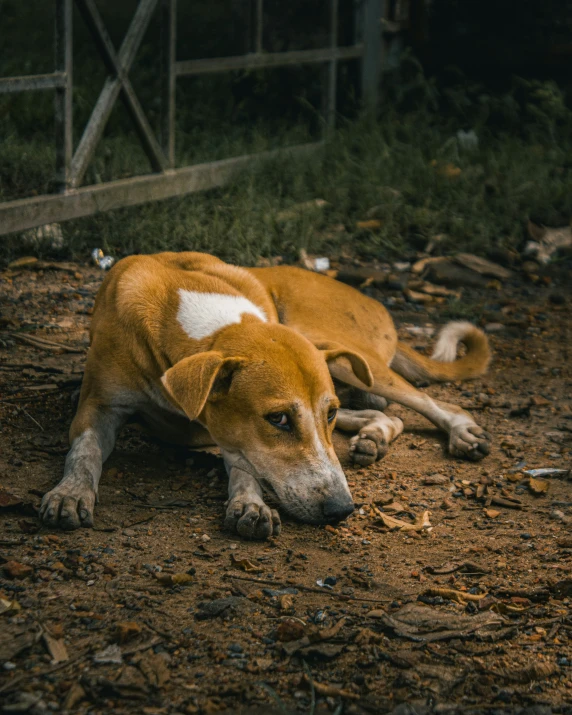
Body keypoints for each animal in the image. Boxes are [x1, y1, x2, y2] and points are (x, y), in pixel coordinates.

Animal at [39, 252, 492, 536]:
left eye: (327, 414)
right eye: (278, 419)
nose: (342, 511)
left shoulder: (228, 430)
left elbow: (244, 465)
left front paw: (249, 503)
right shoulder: (98, 406)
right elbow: (84, 450)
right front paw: (70, 492)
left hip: (344, 352)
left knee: (434, 402)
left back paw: (460, 431)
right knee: (388, 414)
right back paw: (373, 437)